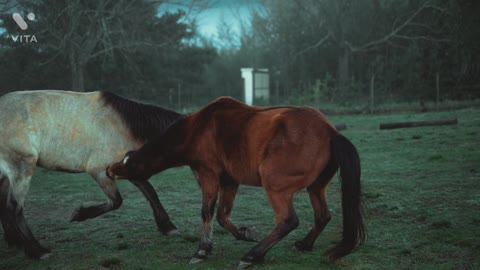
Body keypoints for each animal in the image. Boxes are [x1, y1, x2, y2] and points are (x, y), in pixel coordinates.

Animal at [0, 89, 180, 258]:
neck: (123, 126)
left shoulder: (126, 168)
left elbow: (150, 192)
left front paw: (168, 227)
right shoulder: (99, 171)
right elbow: (117, 201)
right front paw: (79, 214)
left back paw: (15, 242)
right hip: (22, 167)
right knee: (14, 208)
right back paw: (36, 250)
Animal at [107, 97, 366, 268]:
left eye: (130, 165)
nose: (110, 169)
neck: (197, 129)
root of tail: (331, 132)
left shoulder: (209, 176)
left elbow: (207, 212)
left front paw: (202, 249)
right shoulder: (229, 182)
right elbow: (222, 216)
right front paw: (244, 233)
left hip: (275, 185)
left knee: (288, 221)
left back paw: (253, 256)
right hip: (316, 188)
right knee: (322, 215)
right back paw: (303, 244)